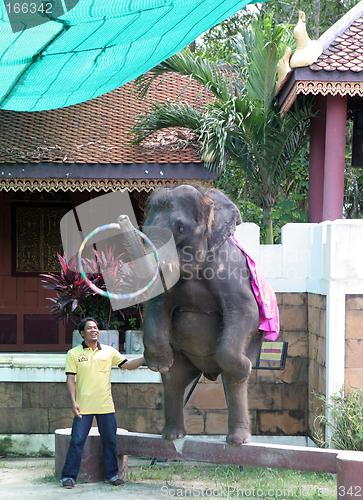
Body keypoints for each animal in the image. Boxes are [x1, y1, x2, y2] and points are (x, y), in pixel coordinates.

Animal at [141, 185, 264, 446]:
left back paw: (238, 440)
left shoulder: (229, 268)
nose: (248, 363)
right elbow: (157, 304)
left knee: (232, 381)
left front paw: (245, 366)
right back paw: (173, 435)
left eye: (180, 228)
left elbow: (246, 310)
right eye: (144, 229)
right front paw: (160, 362)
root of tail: (208, 372)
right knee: (173, 379)